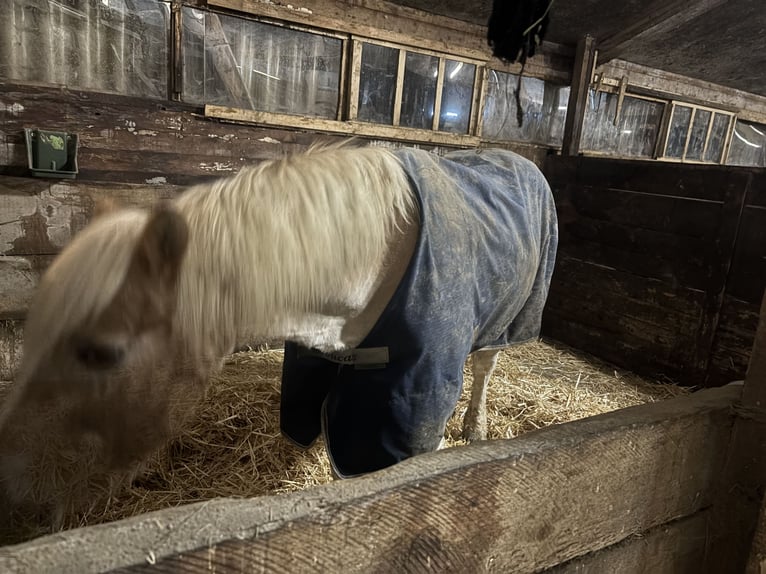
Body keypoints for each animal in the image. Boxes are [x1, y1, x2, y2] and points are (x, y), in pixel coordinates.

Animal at [0, 143, 557, 531]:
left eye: (100, 352)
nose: (11, 489)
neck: (362, 267)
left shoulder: (409, 408)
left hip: (508, 321)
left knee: (484, 367)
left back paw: (475, 428)